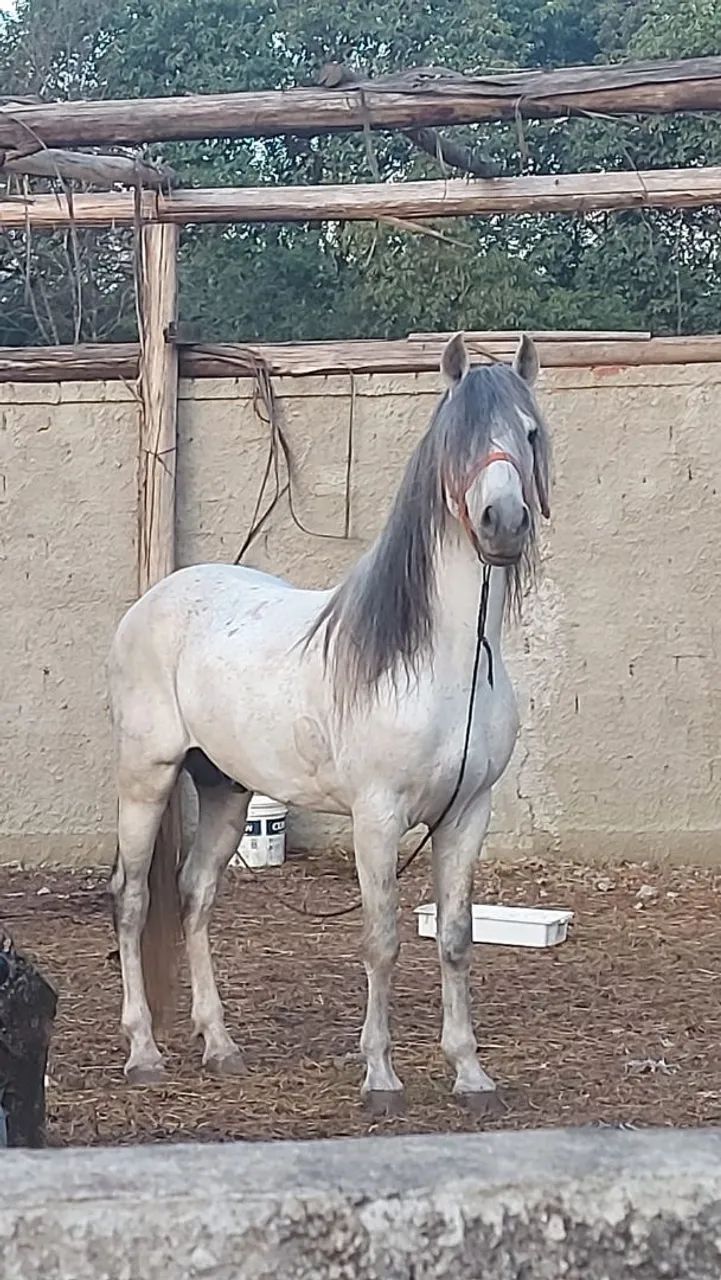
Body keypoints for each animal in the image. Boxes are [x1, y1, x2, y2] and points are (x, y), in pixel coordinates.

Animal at [108, 331, 551, 1114]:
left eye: (528, 434)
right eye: (457, 439)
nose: (503, 522)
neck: (439, 660)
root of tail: (154, 600)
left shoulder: (467, 813)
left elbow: (455, 938)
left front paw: (470, 1075)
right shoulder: (377, 817)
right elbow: (382, 940)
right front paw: (380, 1077)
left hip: (225, 791)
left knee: (195, 897)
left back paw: (220, 1046)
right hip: (146, 780)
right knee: (133, 902)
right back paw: (144, 1054)